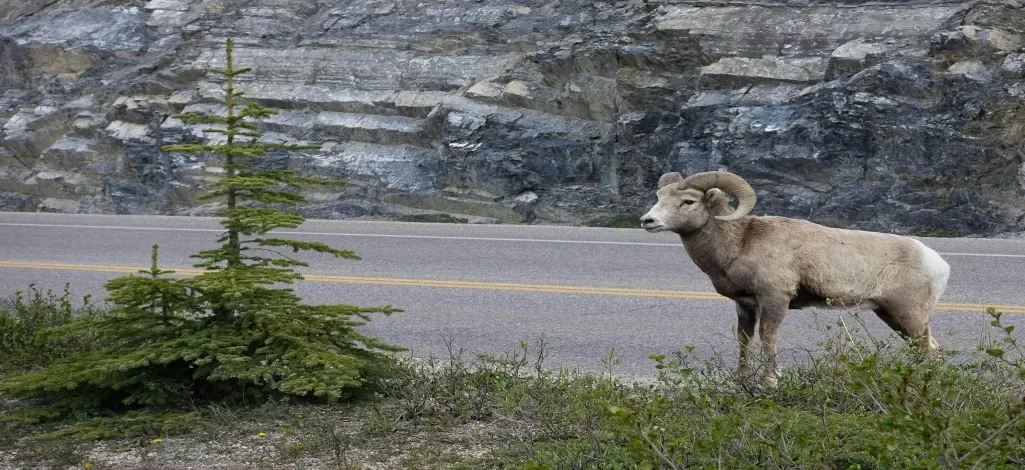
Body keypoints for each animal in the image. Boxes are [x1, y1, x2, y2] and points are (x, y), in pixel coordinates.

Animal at [639, 170, 951, 387]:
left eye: (688, 201)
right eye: (659, 199)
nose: (647, 221)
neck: (739, 242)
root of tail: (937, 262)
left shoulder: (775, 299)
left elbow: (767, 338)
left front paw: (770, 381)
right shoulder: (746, 304)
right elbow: (744, 339)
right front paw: (742, 378)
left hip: (908, 315)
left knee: (927, 350)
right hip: (893, 316)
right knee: (928, 349)